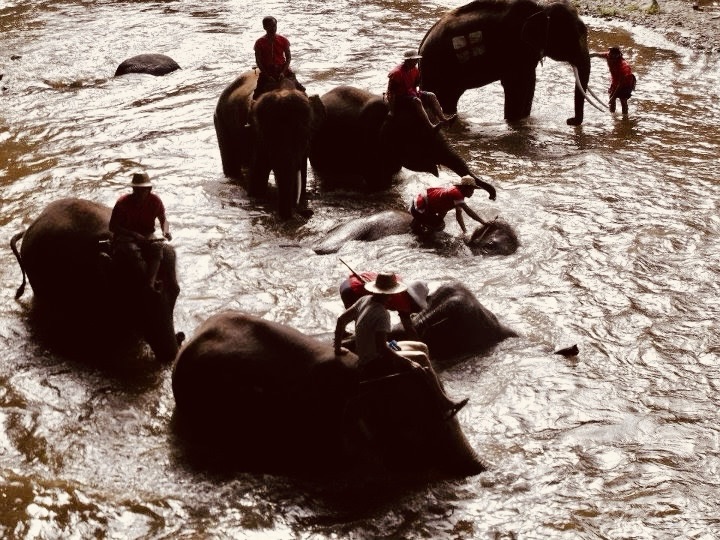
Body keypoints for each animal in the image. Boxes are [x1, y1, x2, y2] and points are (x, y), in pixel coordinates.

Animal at [213, 70, 326, 219]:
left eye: (304, 136)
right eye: (267, 137)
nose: (307, 213)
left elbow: (301, 175)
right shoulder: (256, 135)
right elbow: (257, 181)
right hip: (219, 120)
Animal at [418, 0, 592, 125]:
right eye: (571, 39)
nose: (569, 121)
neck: (542, 7)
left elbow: (530, 83)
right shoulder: (513, 46)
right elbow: (516, 85)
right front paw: (514, 124)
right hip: (437, 69)